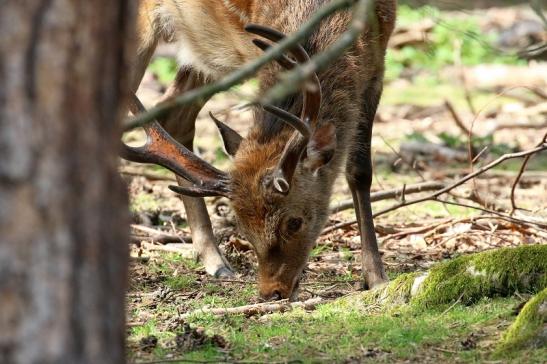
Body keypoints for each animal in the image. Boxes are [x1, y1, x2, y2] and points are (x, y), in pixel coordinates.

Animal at [126, 0, 396, 300]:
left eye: (294, 222)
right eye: (243, 227)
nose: (271, 292)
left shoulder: (378, 62)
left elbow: (359, 171)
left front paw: (376, 277)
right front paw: (376, 277)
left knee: (175, 115)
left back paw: (216, 263)